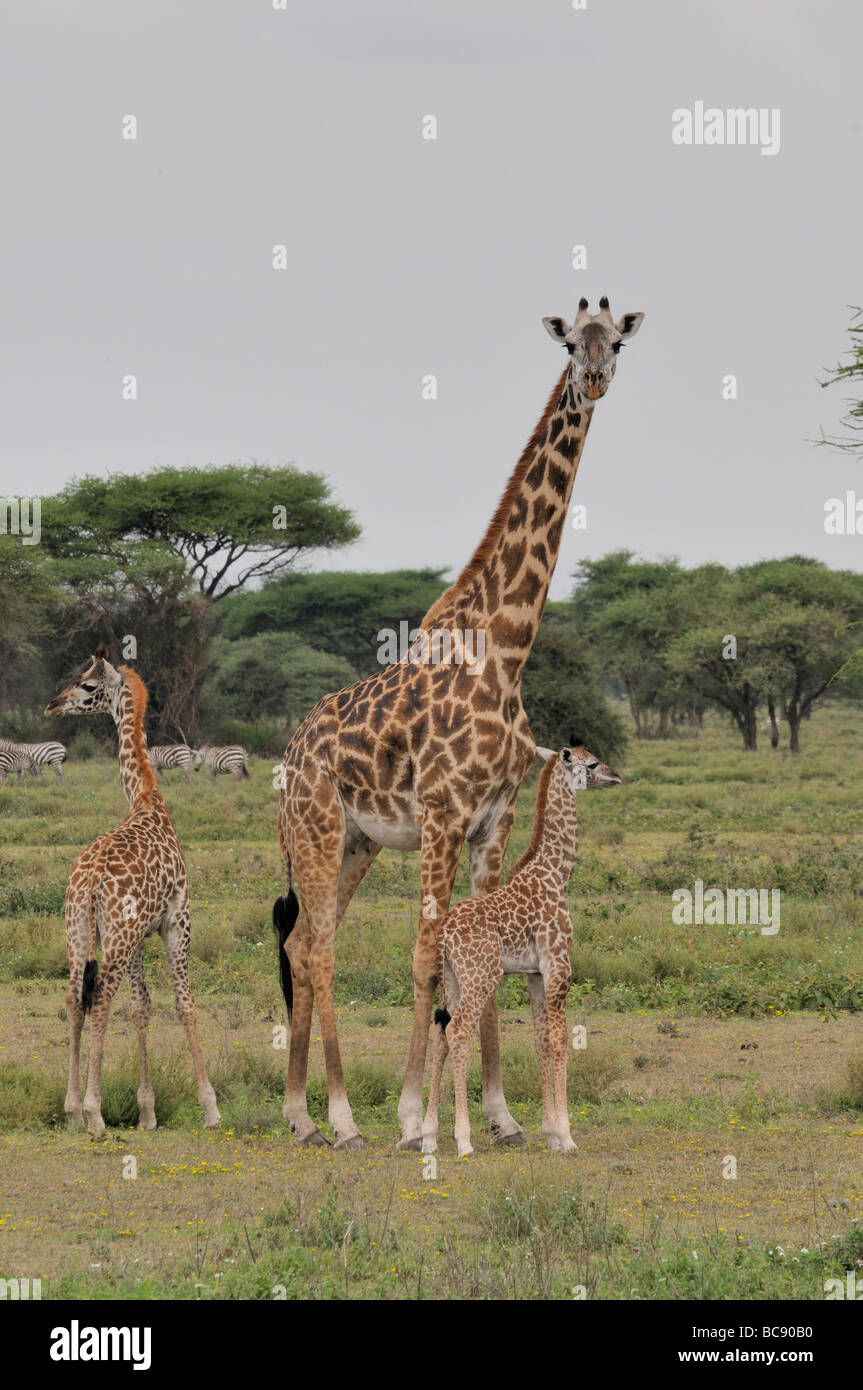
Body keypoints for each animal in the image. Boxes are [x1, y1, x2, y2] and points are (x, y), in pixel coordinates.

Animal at [43, 644, 218, 1134]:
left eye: (86, 685)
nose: (52, 705)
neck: (147, 800)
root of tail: (90, 881)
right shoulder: (177, 918)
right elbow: (184, 1003)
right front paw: (209, 1106)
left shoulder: (142, 932)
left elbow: (142, 1006)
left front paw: (147, 1110)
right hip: (116, 936)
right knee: (101, 996)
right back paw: (94, 1112)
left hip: (77, 930)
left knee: (73, 998)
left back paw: (71, 1110)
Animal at [419, 745, 617, 1156]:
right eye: (591, 763)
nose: (615, 775)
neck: (556, 874)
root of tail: (445, 935)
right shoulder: (559, 966)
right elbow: (559, 1040)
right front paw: (567, 1136)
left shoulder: (535, 974)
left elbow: (540, 1040)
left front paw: (551, 1134)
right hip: (482, 975)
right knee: (459, 1030)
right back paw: (463, 1140)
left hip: (453, 980)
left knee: (441, 1032)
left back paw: (428, 1136)